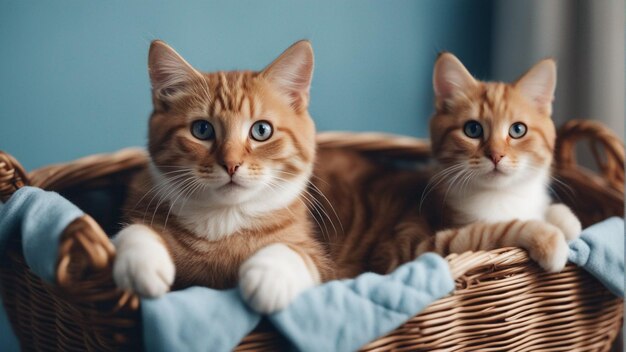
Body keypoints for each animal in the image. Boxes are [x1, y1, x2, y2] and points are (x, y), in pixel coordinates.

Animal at [115, 40, 334, 312]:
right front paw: (139, 260)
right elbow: (132, 230)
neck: (224, 219)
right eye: (202, 129)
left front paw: (270, 275)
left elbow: (299, 253)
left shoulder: (325, 268)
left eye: (262, 130)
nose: (231, 164)